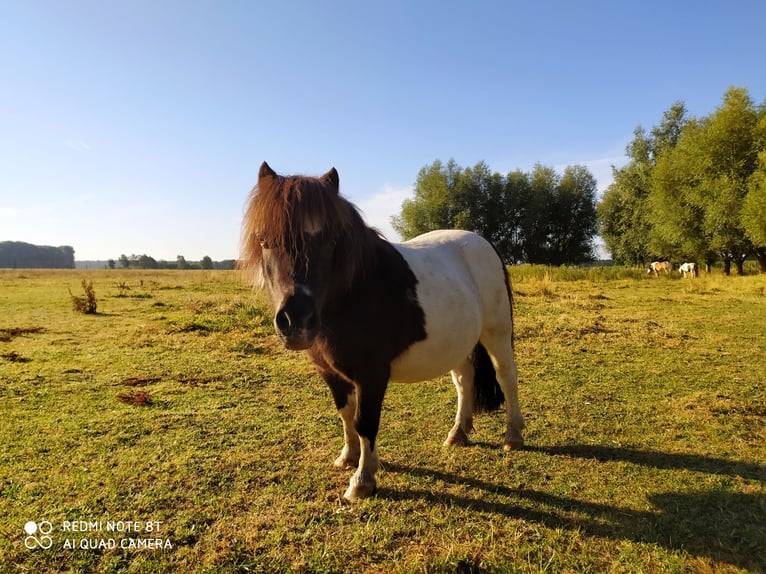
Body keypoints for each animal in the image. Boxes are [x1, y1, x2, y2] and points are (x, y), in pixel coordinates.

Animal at [243, 161, 524, 500]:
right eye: (263, 239)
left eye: (331, 240)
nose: (296, 320)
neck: (355, 294)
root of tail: (482, 243)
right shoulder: (331, 373)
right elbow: (346, 413)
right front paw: (349, 457)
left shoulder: (372, 374)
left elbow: (365, 421)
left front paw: (363, 480)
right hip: (459, 342)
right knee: (463, 381)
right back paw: (458, 433)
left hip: (497, 333)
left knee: (506, 377)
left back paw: (513, 435)